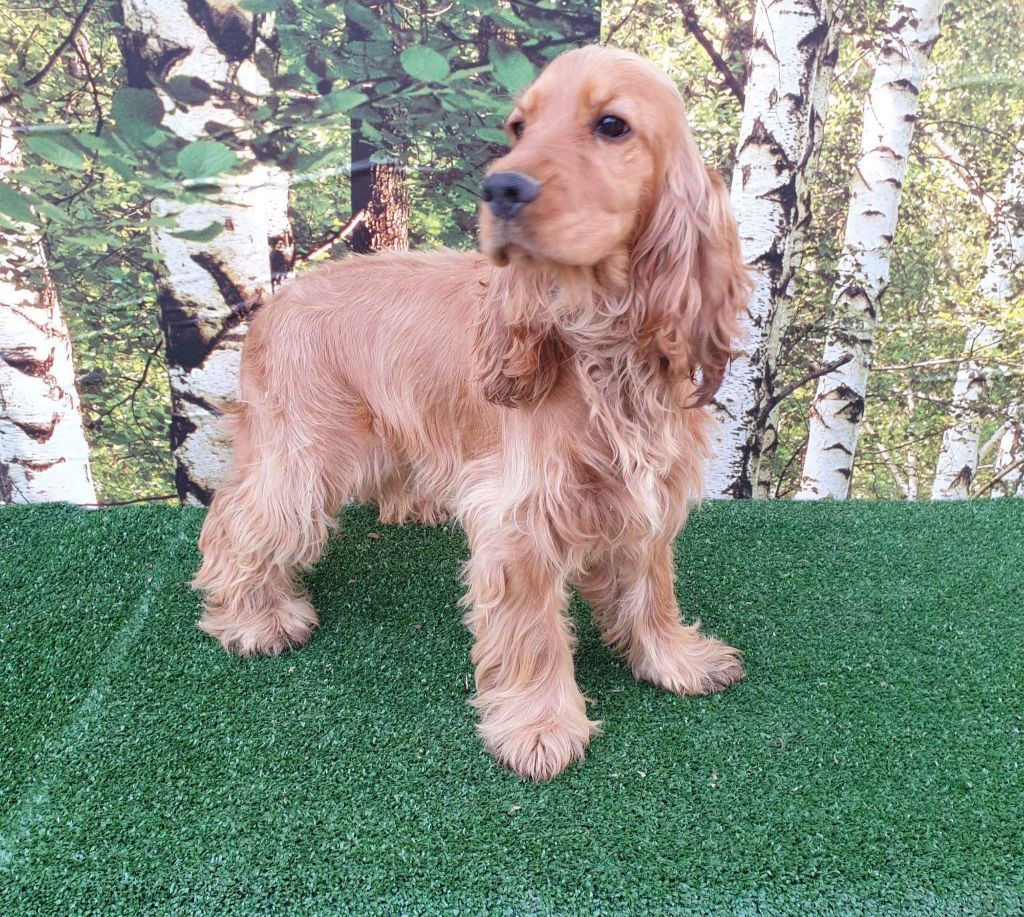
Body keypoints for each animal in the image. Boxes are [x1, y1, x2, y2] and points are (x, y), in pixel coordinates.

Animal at [194, 45, 752, 781]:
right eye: (518, 127)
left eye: (612, 125)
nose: (502, 190)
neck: (602, 343)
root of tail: (275, 299)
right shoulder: (519, 516)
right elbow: (534, 631)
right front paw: (540, 726)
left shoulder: (644, 495)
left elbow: (650, 588)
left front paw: (674, 660)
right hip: (305, 453)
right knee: (239, 520)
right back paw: (251, 619)